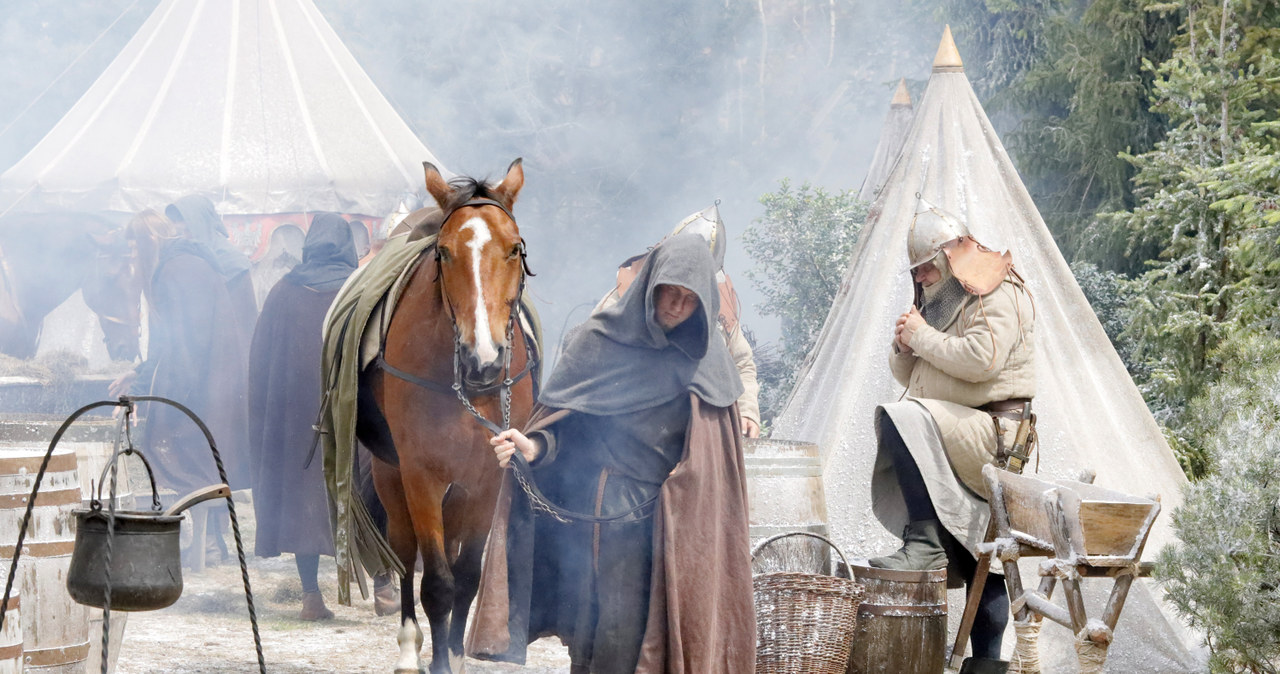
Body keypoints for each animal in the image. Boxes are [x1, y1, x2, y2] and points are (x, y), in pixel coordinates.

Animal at [360, 161, 535, 670]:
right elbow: (437, 582)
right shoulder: (421, 474)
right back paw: (408, 648)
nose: (485, 360)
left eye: (514, 248)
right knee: (404, 553)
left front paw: (454, 655)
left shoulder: (488, 474)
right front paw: (436, 658)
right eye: (443, 252)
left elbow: (468, 575)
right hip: (391, 473)